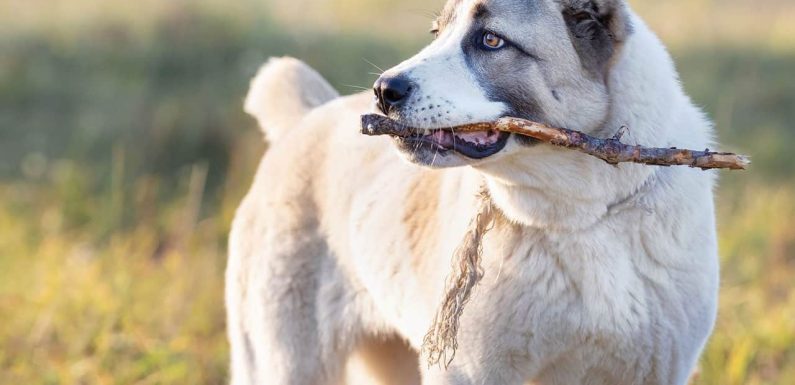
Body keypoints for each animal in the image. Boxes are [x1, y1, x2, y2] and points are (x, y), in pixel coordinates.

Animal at [229, 1, 720, 382]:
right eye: (437, 33)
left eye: (491, 41)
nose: (383, 90)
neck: (584, 216)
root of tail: (305, 118)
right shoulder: (468, 371)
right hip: (283, 362)